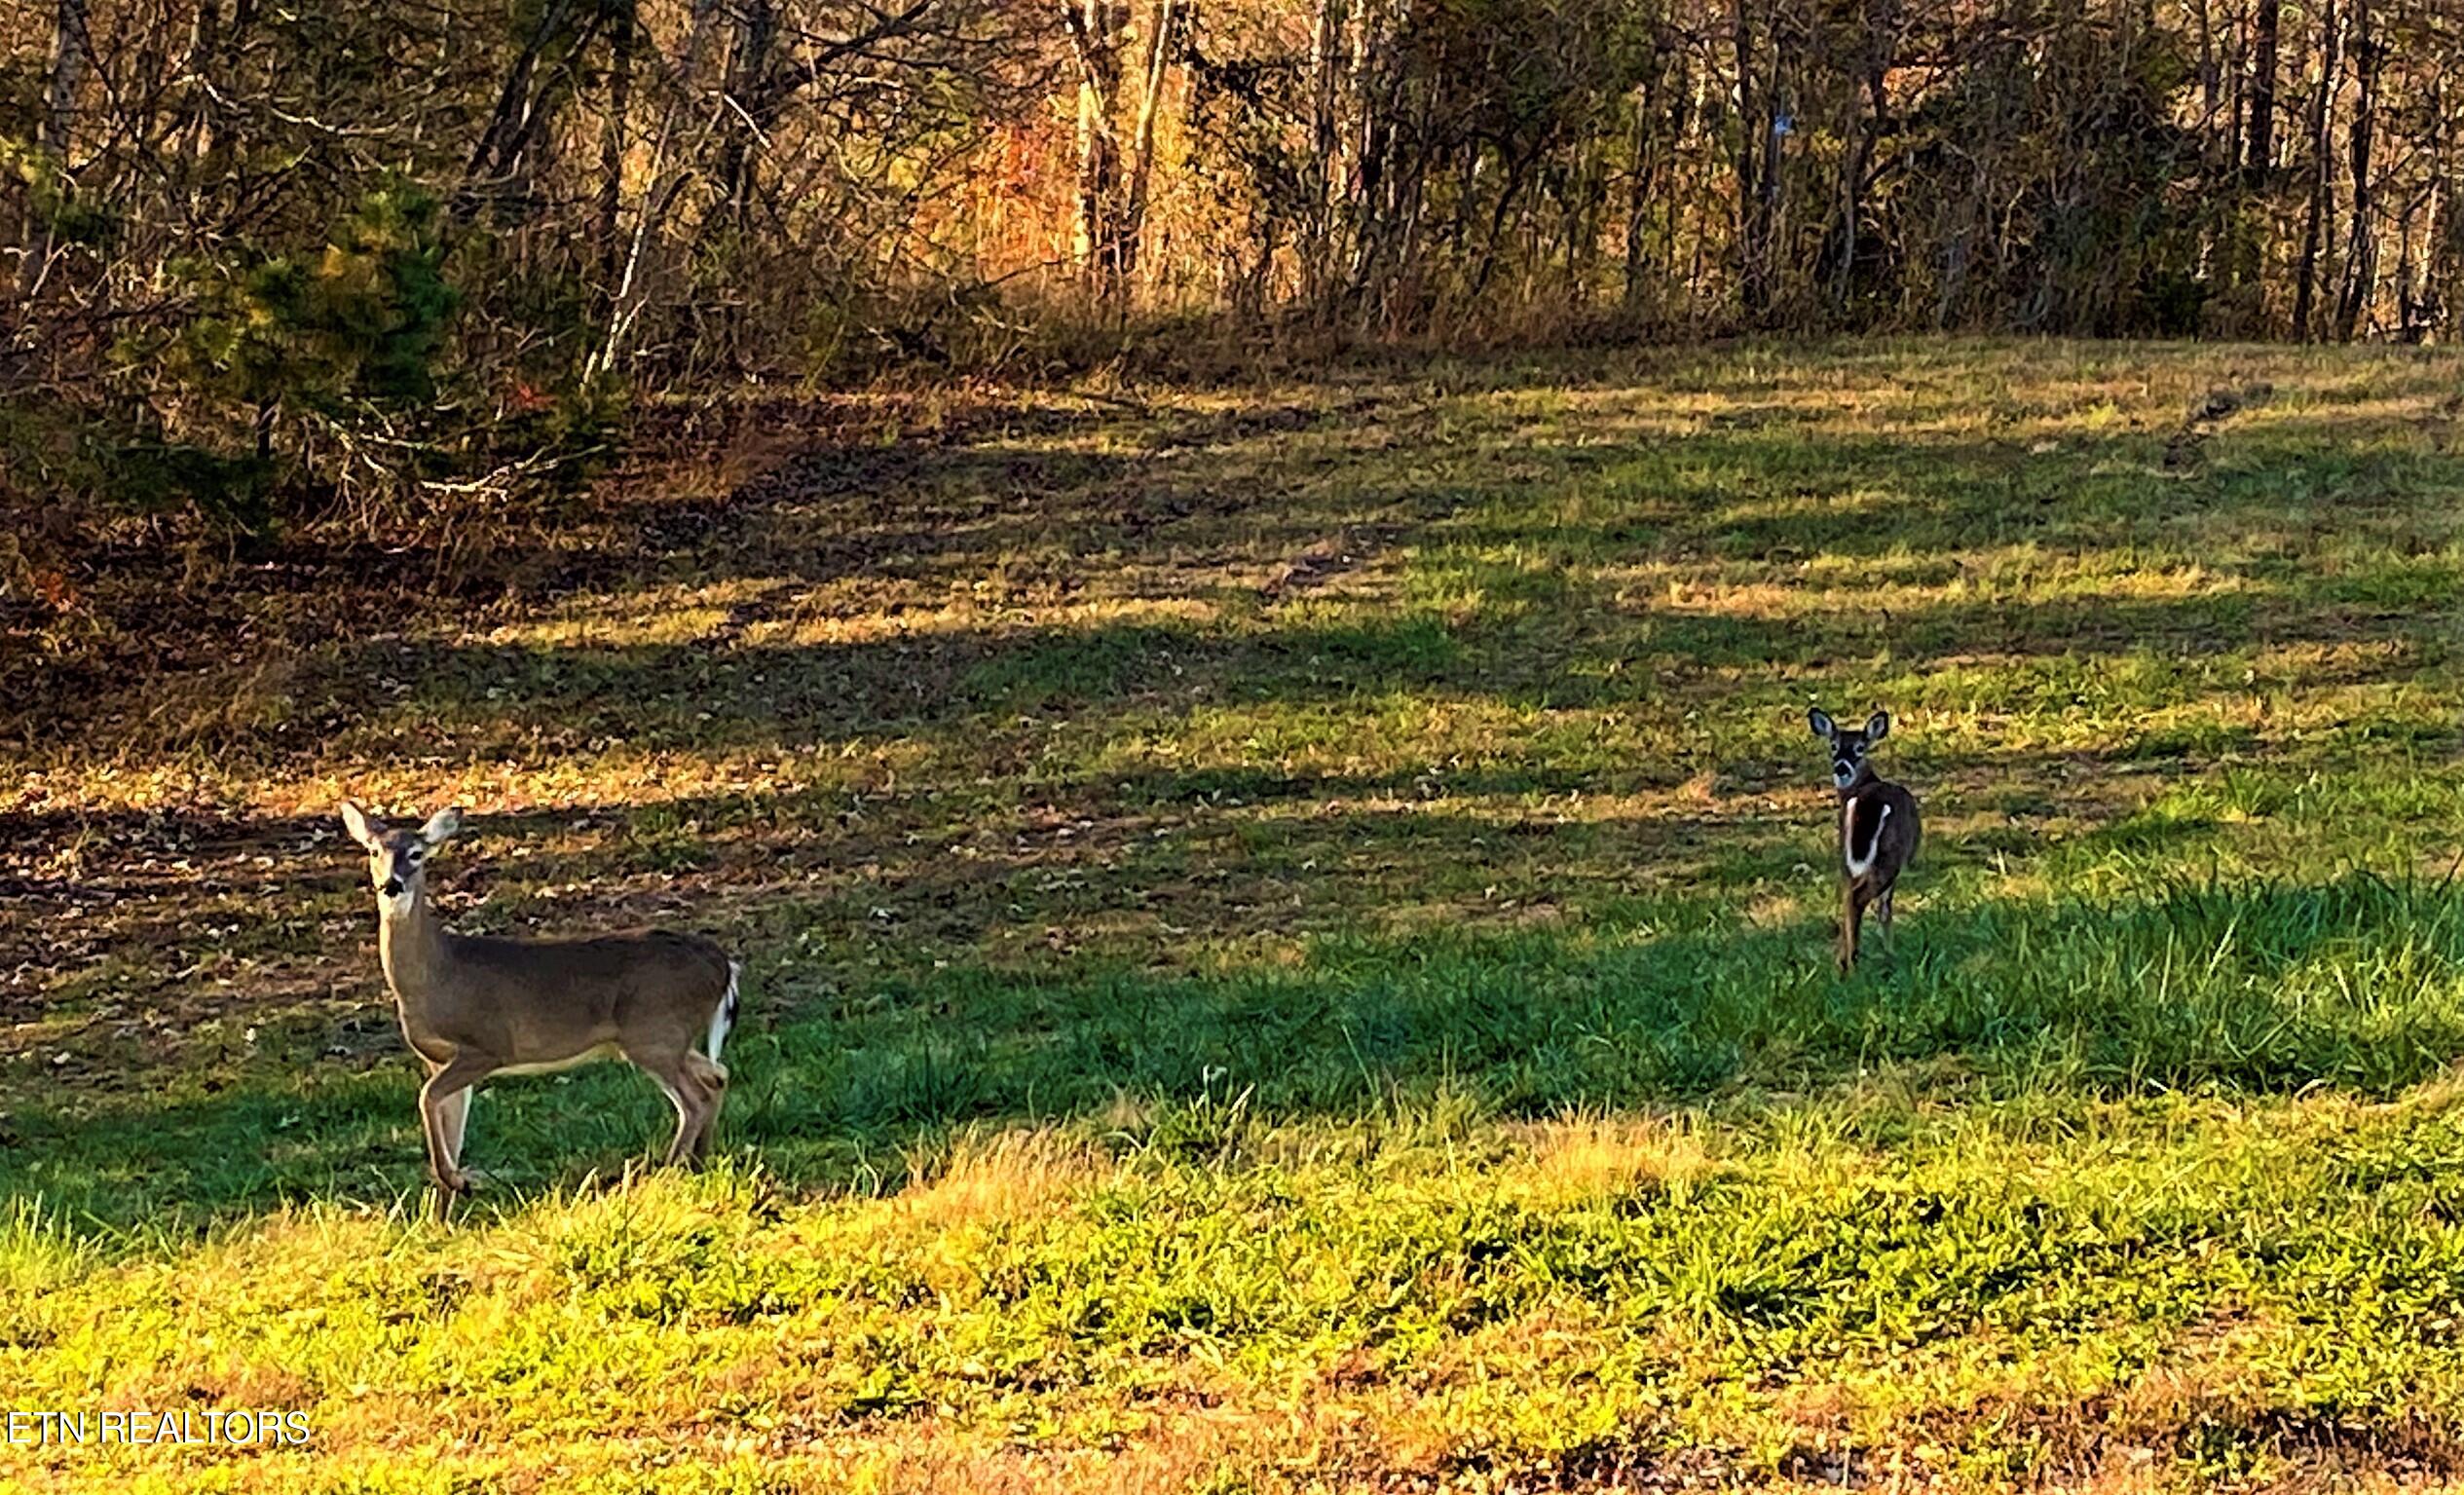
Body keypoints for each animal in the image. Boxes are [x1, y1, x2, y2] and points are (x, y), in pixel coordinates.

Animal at [337, 802, 743, 1222]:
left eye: (417, 854)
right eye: (374, 851)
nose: (392, 885)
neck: (437, 974)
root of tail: (724, 963)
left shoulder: (488, 1046)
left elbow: (425, 1098)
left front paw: (458, 1184)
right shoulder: (438, 1059)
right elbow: (448, 1124)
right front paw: (442, 1216)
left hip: (654, 1032)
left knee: (695, 1099)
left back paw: (666, 1177)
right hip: (666, 1038)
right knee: (717, 1075)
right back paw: (698, 1164)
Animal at [1806, 708, 1921, 971]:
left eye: (1860, 747)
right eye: (1834, 746)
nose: (1841, 768)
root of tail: (1868, 804)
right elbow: (1885, 909)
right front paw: (1889, 951)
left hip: (1845, 855)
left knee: (1848, 897)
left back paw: (1844, 962)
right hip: (1890, 855)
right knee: (1862, 899)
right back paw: (1856, 961)